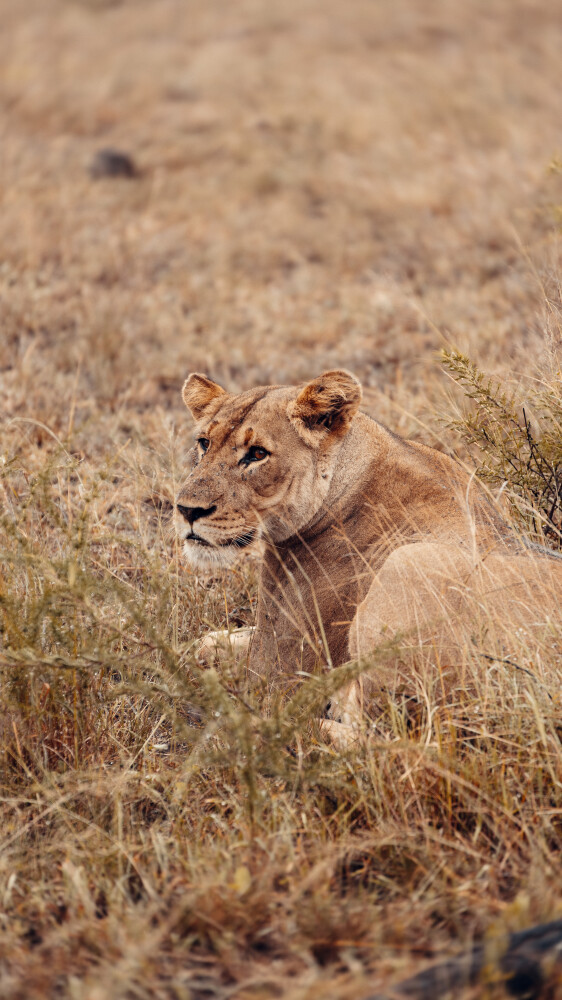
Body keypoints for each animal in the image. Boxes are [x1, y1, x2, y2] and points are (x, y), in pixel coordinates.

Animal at [175, 369, 562, 737]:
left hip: (408, 563)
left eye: (257, 454)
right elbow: (208, 641)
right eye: (204, 443)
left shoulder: (276, 666)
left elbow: (208, 658)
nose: (187, 510)